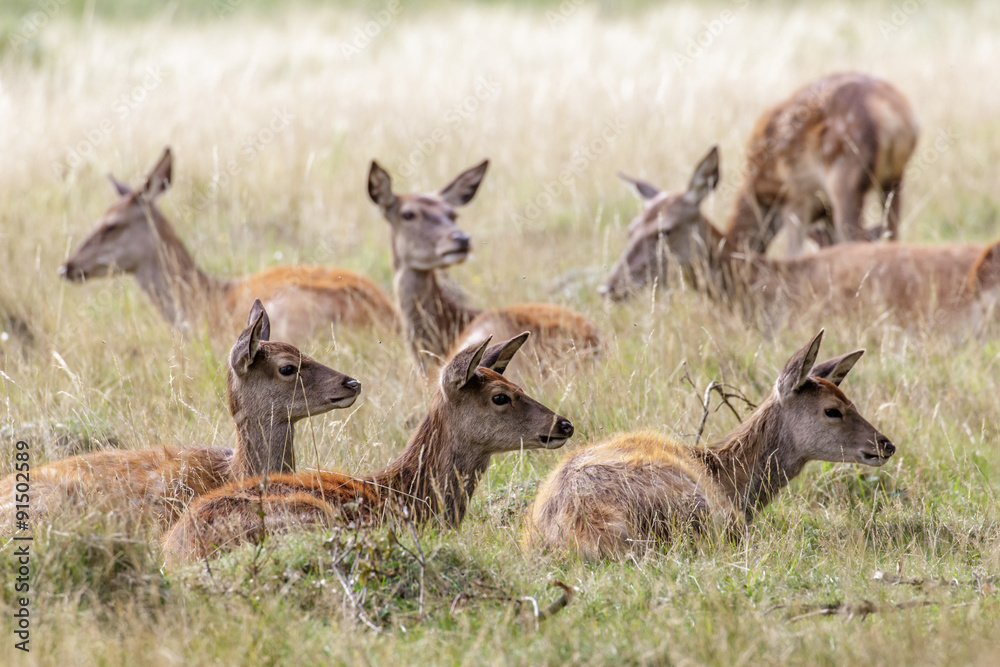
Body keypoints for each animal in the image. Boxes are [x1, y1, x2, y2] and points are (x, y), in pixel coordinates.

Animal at [162, 332, 575, 564]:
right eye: (500, 396)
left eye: (519, 385)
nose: (564, 424)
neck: (410, 495)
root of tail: (180, 548)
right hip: (312, 517)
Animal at [524, 330, 895, 559]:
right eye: (832, 410)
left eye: (851, 401)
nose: (886, 444)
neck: (728, 477)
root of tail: (587, 530)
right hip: (703, 512)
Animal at [686, 72, 918, 255]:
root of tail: (894, 117)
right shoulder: (823, 212)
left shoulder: (796, 196)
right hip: (894, 180)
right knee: (893, 235)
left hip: (845, 177)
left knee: (856, 239)